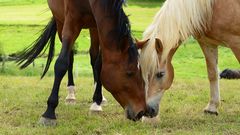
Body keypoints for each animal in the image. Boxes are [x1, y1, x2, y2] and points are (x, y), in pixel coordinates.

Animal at [15, 0, 158, 125]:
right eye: (129, 73)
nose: (141, 111)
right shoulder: (71, 22)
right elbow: (61, 63)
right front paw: (49, 113)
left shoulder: (98, 24)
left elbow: (99, 64)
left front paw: (96, 102)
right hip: (60, 21)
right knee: (70, 57)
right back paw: (71, 94)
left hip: (92, 27)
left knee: (93, 57)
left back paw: (99, 99)